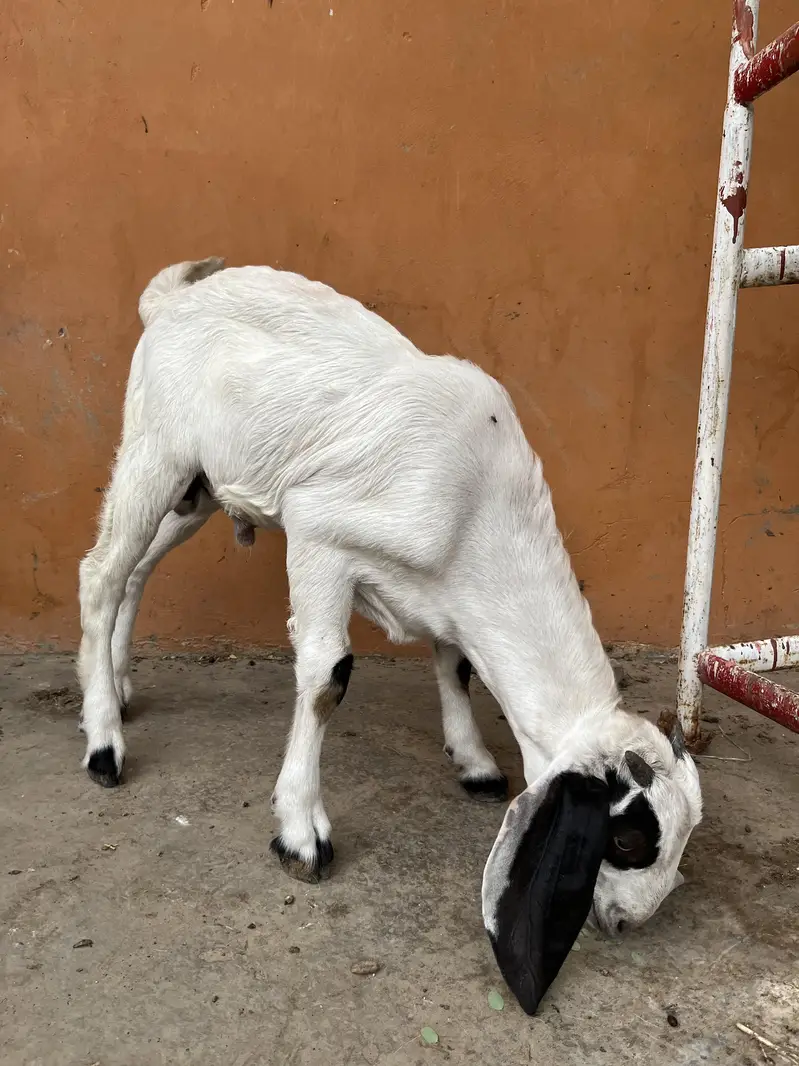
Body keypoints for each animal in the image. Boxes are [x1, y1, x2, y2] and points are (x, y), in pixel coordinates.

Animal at [77, 258, 703, 1014]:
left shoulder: (445, 594)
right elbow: (326, 678)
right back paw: (104, 743)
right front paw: (299, 832)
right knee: (101, 573)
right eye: (629, 837)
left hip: (196, 486)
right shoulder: (318, 534)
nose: (628, 922)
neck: (477, 511)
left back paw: (117, 684)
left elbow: (454, 665)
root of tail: (173, 296)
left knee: (136, 571)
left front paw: (472, 760)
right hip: (156, 449)